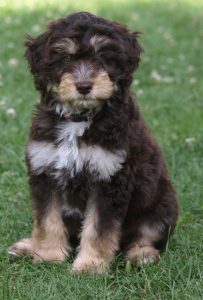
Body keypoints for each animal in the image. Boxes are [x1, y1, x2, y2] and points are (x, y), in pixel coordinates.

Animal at [9, 12, 178, 274]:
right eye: (66, 58)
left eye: (101, 57)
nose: (84, 86)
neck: (79, 119)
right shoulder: (44, 170)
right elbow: (47, 220)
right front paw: (48, 255)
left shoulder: (110, 178)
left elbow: (99, 228)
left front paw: (90, 265)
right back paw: (27, 246)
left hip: (162, 204)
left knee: (145, 234)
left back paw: (142, 255)